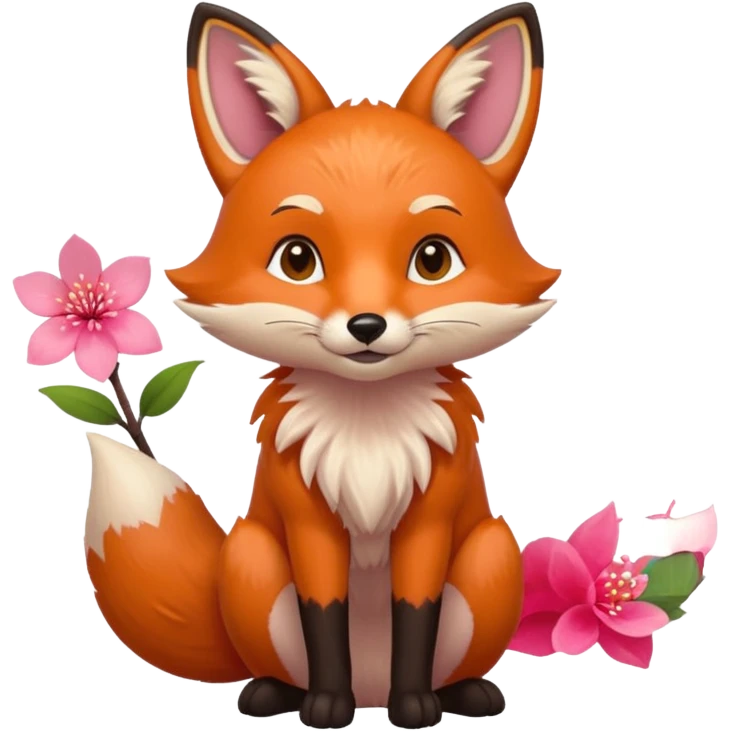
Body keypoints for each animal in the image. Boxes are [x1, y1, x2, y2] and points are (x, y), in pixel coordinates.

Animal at [83, 1, 561, 728]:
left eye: (432, 259)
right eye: (297, 259)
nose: (366, 326)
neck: (366, 432)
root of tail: (372, 685)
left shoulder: (428, 522)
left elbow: (414, 615)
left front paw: (415, 705)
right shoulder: (308, 522)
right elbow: (323, 614)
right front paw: (326, 706)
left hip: (491, 554)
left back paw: (459, 693)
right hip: (251, 558)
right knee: (277, 661)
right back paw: (278, 693)